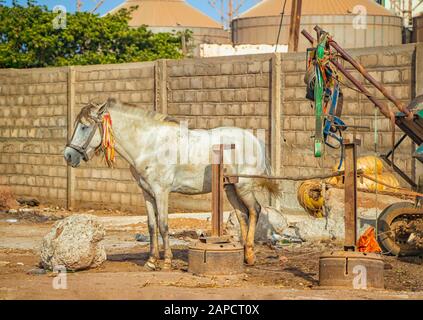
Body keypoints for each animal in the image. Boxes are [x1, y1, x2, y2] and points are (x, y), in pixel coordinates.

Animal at [63, 98, 282, 270]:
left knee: (255, 210)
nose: (68, 155)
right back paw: (244, 256)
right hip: (229, 188)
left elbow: (163, 225)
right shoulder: (147, 193)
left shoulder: (161, 192)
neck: (149, 144)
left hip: (243, 187)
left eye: (84, 126)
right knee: (243, 214)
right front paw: (151, 261)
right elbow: (151, 226)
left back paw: (251, 256)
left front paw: (166, 261)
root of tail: (254, 139)